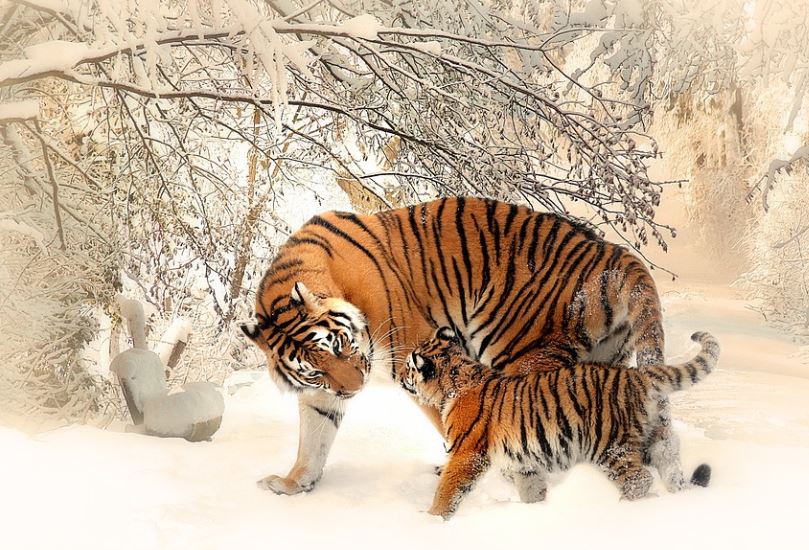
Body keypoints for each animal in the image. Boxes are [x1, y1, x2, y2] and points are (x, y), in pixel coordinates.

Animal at [240, 197, 678, 495]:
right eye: (315, 370)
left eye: (340, 345)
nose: (355, 389)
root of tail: (613, 253)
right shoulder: (321, 393)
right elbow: (314, 438)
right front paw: (293, 483)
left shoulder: (416, 355)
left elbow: (453, 420)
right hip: (605, 363)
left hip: (521, 353)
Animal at [401, 327, 719, 519]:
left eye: (408, 367)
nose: (402, 378)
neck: (455, 380)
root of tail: (637, 375)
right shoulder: (524, 462)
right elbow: (531, 489)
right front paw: (537, 511)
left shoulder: (467, 454)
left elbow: (448, 489)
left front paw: (432, 520)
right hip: (658, 439)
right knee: (671, 469)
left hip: (610, 446)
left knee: (639, 480)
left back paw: (623, 510)